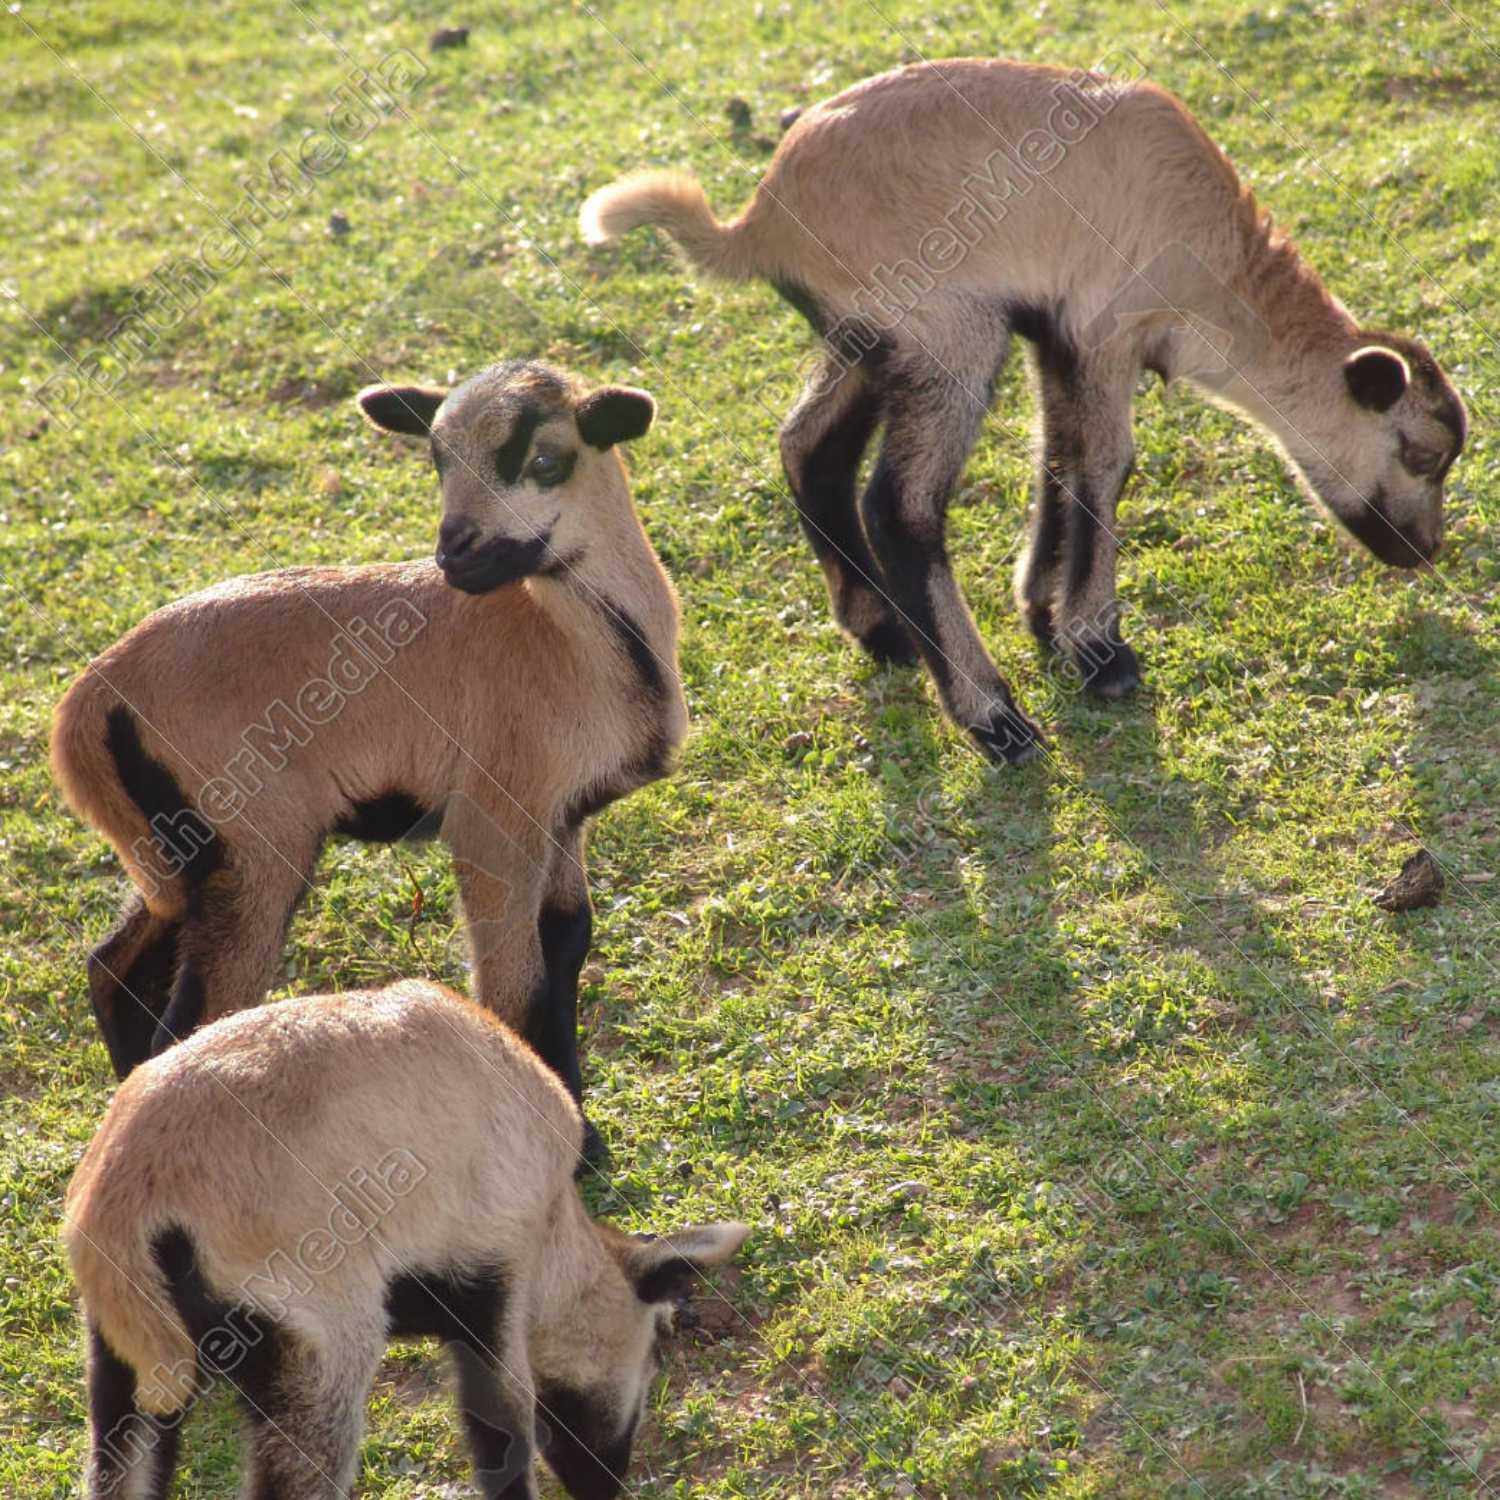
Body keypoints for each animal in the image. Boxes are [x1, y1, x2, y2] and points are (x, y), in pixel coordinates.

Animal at [51, 360, 685, 1152]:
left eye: (546, 460)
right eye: (437, 458)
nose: (455, 553)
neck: (575, 641)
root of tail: (94, 700)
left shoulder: (563, 816)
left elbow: (567, 943)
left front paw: (581, 1128)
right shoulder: (494, 815)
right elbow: (515, 981)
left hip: (181, 851)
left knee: (113, 972)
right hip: (257, 846)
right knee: (193, 1021)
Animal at [63, 977, 750, 1499]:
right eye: (655, 1347)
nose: (604, 1483)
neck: (555, 1224)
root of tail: (127, 1202)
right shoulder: (489, 1284)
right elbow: (501, 1430)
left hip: (126, 1362)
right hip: (319, 1339)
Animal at [581, 58, 1467, 765]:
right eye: (1421, 454)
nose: (1423, 551)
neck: (1222, 276)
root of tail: (756, 221)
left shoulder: (1056, 332)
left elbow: (1057, 456)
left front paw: (1044, 608)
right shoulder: (1106, 325)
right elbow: (1106, 464)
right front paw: (1099, 650)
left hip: (871, 339)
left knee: (808, 447)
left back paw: (882, 631)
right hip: (947, 332)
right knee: (899, 507)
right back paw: (996, 721)